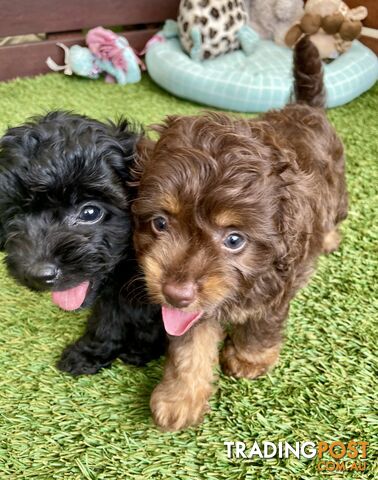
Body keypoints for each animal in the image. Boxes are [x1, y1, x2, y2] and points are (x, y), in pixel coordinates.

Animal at [0, 111, 165, 376]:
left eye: (90, 212)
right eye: (15, 215)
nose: (38, 275)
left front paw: (141, 350)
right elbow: (107, 323)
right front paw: (89, 354)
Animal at [132, 35, 348, 430]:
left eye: (234, 240)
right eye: (160, 223)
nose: (175, 293)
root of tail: (306, 107)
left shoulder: (275, 288)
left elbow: (260, 326)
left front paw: (250, 358)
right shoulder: (196, 307)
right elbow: (190, 344)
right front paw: (180, 397)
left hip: (339, 189)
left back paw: (328, 239)